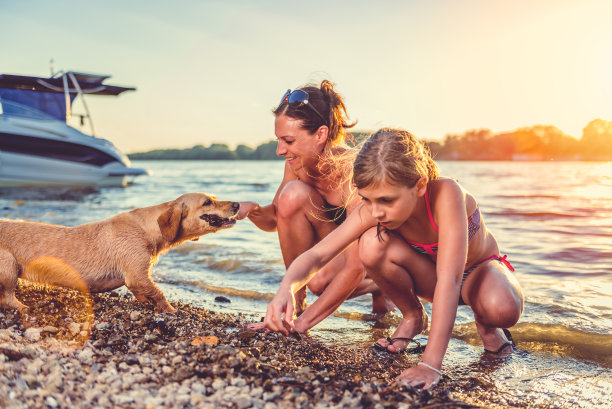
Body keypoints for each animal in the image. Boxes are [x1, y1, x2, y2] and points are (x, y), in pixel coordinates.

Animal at [0, 193, 238, 310]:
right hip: (10, 268)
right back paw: (23, 307)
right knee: (7, 298)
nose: (237, 204)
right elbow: (159, 292)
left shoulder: (135, 279)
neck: (147, 228)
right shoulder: (136, 275)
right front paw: (169, 309)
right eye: (207, 202)